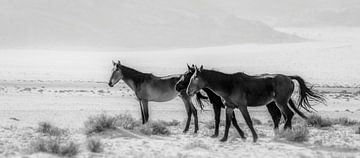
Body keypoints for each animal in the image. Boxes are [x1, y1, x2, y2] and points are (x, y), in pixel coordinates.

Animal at [187, 65, 324, 142]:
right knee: (285, 116)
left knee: (289, 115)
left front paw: (254, 137)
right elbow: (228, 123)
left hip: (280, 102)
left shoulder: (242, 106)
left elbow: (248, 121)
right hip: (279, 103)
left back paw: (283, 132)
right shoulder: (229, 107)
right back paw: (286, 132)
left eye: (194, 78)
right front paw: (224, 138)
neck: (229, 84)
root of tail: (289, 78)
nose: (188, 91)